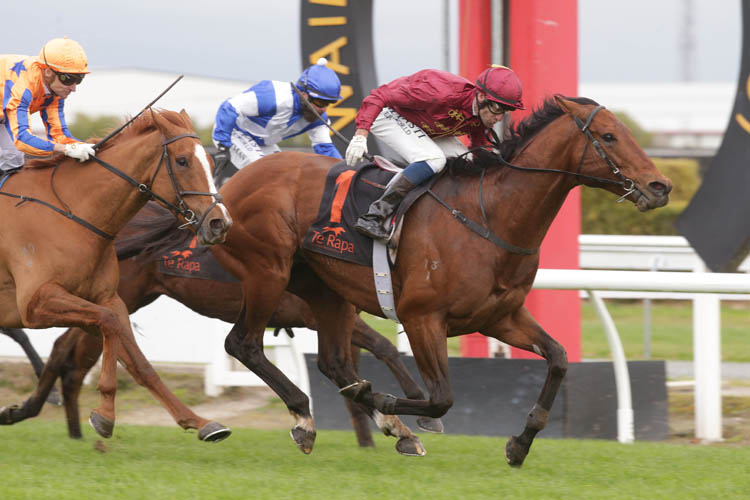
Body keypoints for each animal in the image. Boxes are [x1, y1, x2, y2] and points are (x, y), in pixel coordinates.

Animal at [0, 108, 234, 442]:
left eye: (213, 163)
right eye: (182, 161)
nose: (219, 223)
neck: (73, 213)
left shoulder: (108, 299)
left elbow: (139, 361)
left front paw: (201, 422)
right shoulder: (36, 303)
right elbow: (108, 325)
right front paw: (104, 414)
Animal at [0, 203, 440, 450]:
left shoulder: (334, 316)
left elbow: (365, 359)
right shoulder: (320, 315)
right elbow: (380, 349)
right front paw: (415, 407)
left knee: (72, 351)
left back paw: (63, 422)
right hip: (116, 295)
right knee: (70, 351)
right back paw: (38, 412)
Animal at [209, 95, 672, 466]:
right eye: (610, 136)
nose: (661, 185)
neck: (489, 215)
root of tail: (225, 193)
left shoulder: (500, 317)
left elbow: (558, 358)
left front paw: (519, 445)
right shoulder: (422, 317)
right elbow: (441, 398)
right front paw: (389, 402)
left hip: (328, 291)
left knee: (333, 362)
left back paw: (386, 424)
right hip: (268, 270)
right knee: (244, 344)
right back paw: (308, 417)